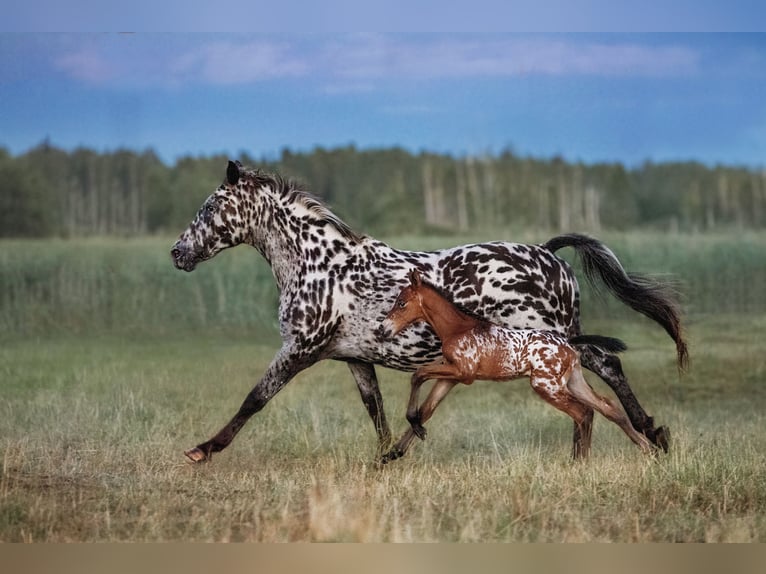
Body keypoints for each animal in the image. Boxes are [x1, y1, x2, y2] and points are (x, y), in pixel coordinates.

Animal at [380, 272, 656, 466]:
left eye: (402, 303)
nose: (383, 329)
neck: (458, 328)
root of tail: (568, 344)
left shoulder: (463, 372)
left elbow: (418, 375)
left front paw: (412, 427)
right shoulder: (452, 377)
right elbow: (428, 408)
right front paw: (394, 451)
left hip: (546, 386)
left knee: (582, 412)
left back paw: (582, 462)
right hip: (573, 382)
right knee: (606, 407)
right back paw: (646, 449)